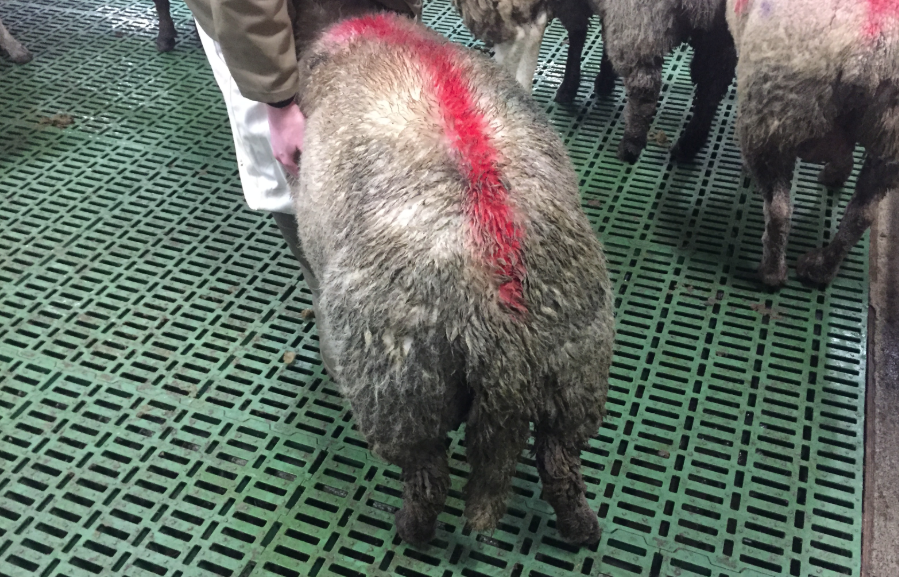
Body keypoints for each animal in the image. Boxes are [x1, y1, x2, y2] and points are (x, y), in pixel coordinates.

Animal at [290, 11, 615, 546]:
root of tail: (506, 327)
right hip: (576, 380)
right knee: (561, 467)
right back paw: (582, 530)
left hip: (402, 396)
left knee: (428, 481)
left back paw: (410, 531)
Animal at [595, 0, 737, 163]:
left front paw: (604, 82)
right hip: (720, 34)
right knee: (711, 89)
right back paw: (687, 146)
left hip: (638, 19)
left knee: (644, 87)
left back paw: (630, 146)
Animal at [728, 0, 899, 287]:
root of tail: (866, 57)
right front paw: (837, 171)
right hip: (889, 140)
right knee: (861, 214)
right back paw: (821, 268)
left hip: (769, 117)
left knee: (778, 209)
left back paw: (771, 273)